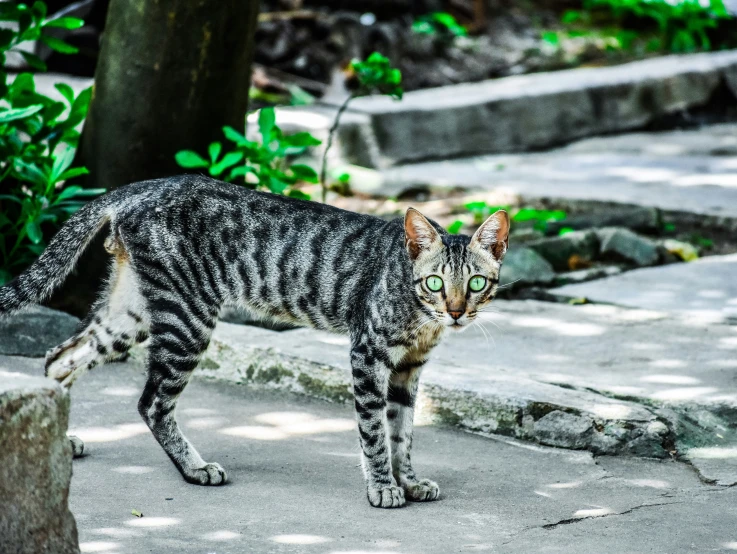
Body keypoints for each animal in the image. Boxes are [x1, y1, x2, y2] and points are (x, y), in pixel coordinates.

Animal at [0, 175, 506, 506]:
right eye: (436, 283)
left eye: (476, 283)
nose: (456, 311)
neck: (422, 317)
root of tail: (142, 185)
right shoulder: (369, 354)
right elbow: (375, 431)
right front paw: (383, 487)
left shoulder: (408, 368)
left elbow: (403, 432)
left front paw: (409, 480)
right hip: (188, 318)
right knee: (151, 402)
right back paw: (194, 467)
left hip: (131, 314)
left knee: (59, 357)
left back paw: (59, 439)